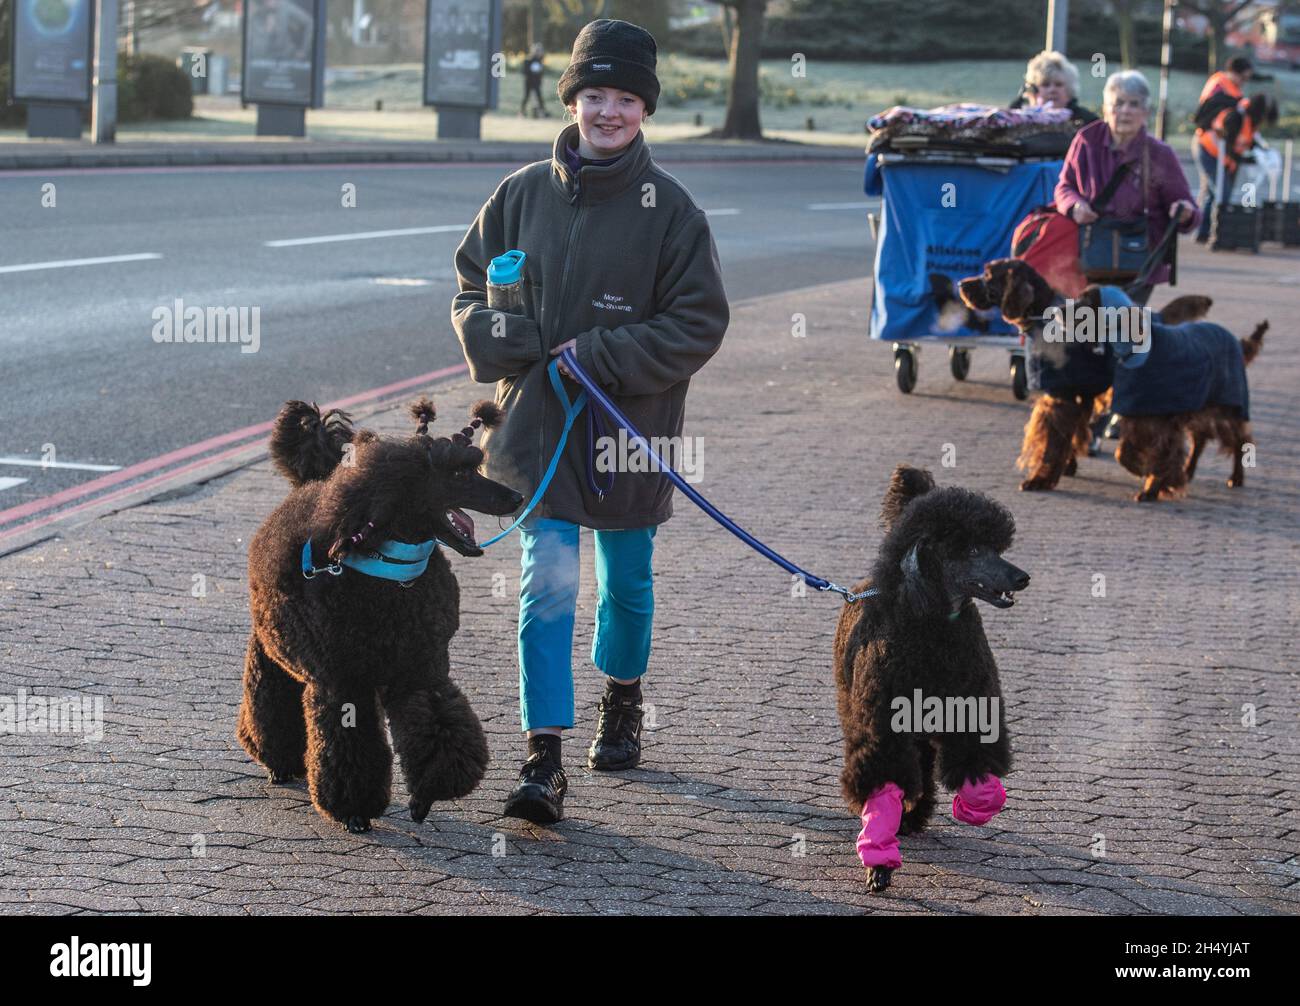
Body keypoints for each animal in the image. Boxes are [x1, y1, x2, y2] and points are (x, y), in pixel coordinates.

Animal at [961, 262, 1263, 504]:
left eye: (988, 274)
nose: (961, 283)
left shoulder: (1064, 396)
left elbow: (1055, 444)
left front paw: (1040, 478)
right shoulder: (1085, 395)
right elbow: (1080, 438)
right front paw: (1068, 466)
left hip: (1225, 405)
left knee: (1239, 438)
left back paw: (1235, 476)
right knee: (1199, 437)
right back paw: (1187, 471)